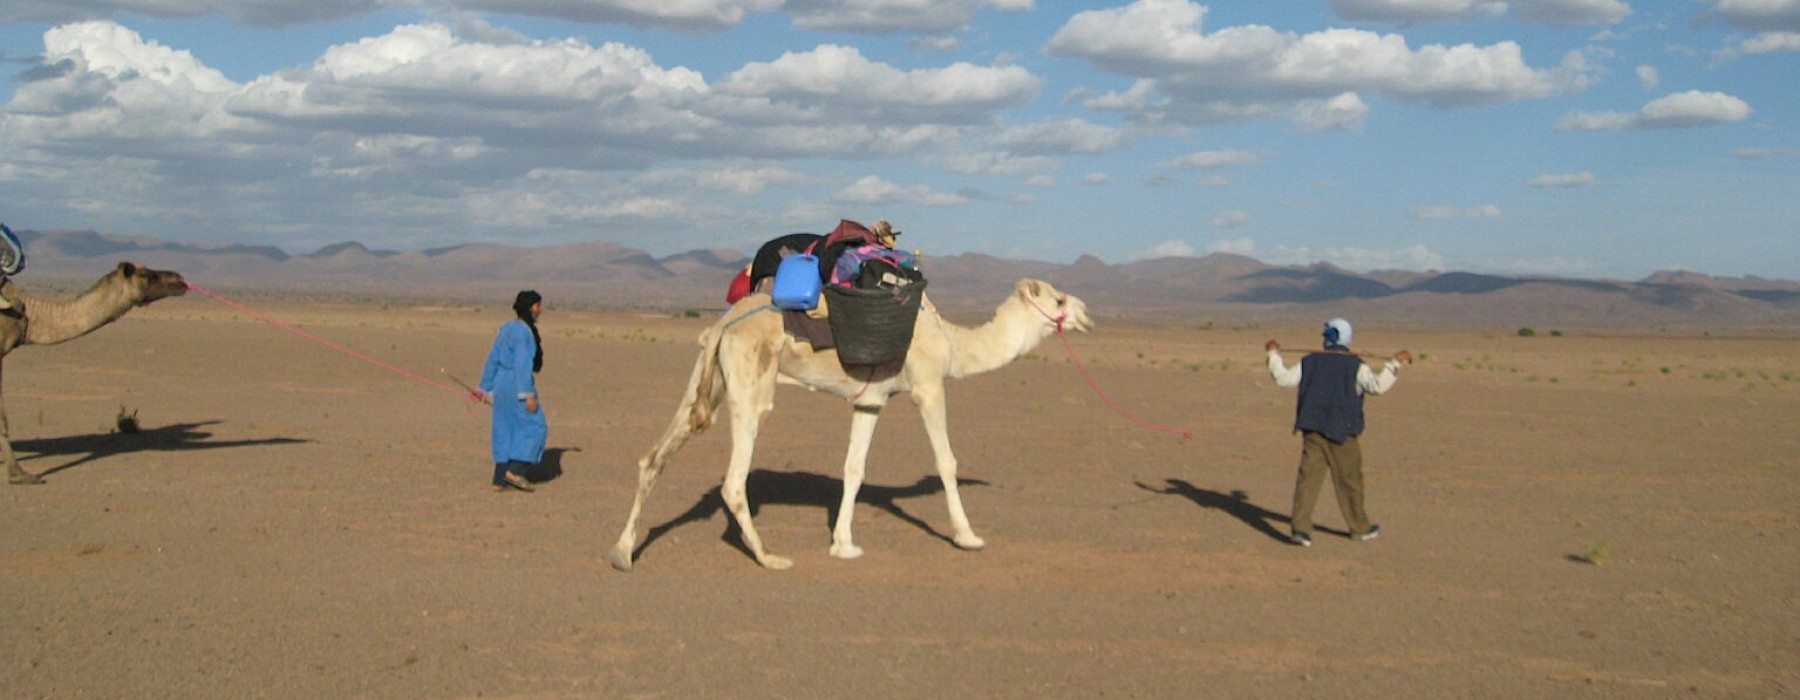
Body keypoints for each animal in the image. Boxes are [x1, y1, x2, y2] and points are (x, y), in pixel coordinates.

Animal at [615, 275, 1094, 568]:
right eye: (1058, 299)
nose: (1087, 314)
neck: (952, 342)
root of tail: (723, 324)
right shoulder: (928, 386)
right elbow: (947, 462)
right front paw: (967, 536)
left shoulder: (871, 402)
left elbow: (854, 469)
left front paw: (843, 544)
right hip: (751, 383)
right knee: (734, 480)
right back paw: (770, 557)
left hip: (706, 378)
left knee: (652, 459)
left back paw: (623, 552)